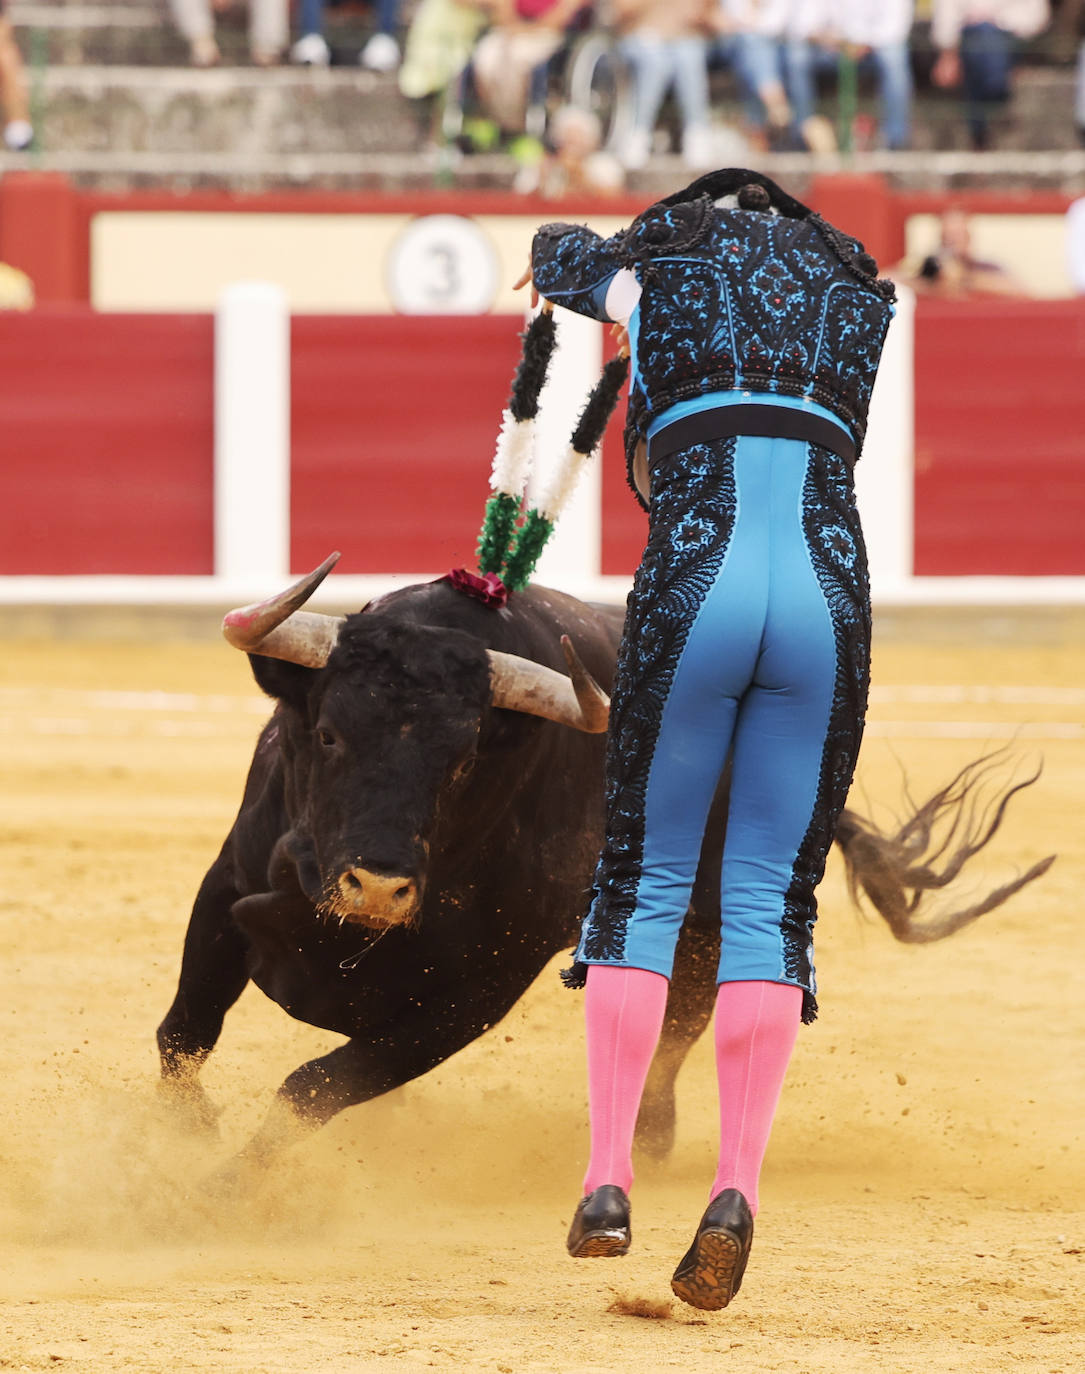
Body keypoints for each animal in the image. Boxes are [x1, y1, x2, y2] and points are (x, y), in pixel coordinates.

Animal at [157, 568, 1060, 1159]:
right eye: (327, 734)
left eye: (462, 761)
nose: (376, 888)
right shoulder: (225, 888)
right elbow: (185, 1032)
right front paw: (183, 1141)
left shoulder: (478, 995)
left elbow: (314, 1085)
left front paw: (222, 1193)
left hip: (708, 916)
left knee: (683, 1019)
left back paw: (647, 1139)